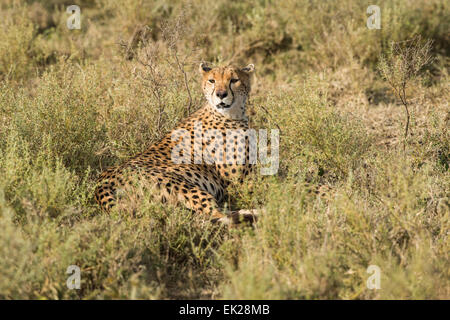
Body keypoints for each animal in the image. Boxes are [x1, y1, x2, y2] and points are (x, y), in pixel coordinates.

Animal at [95, 63, 256, 225]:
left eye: (234, 80)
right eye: (212, 81)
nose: (221, 94)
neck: (231, 114)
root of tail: (101, 184)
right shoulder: (237, 184)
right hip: (181, 184)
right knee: (214, 215)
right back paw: (254, 214)